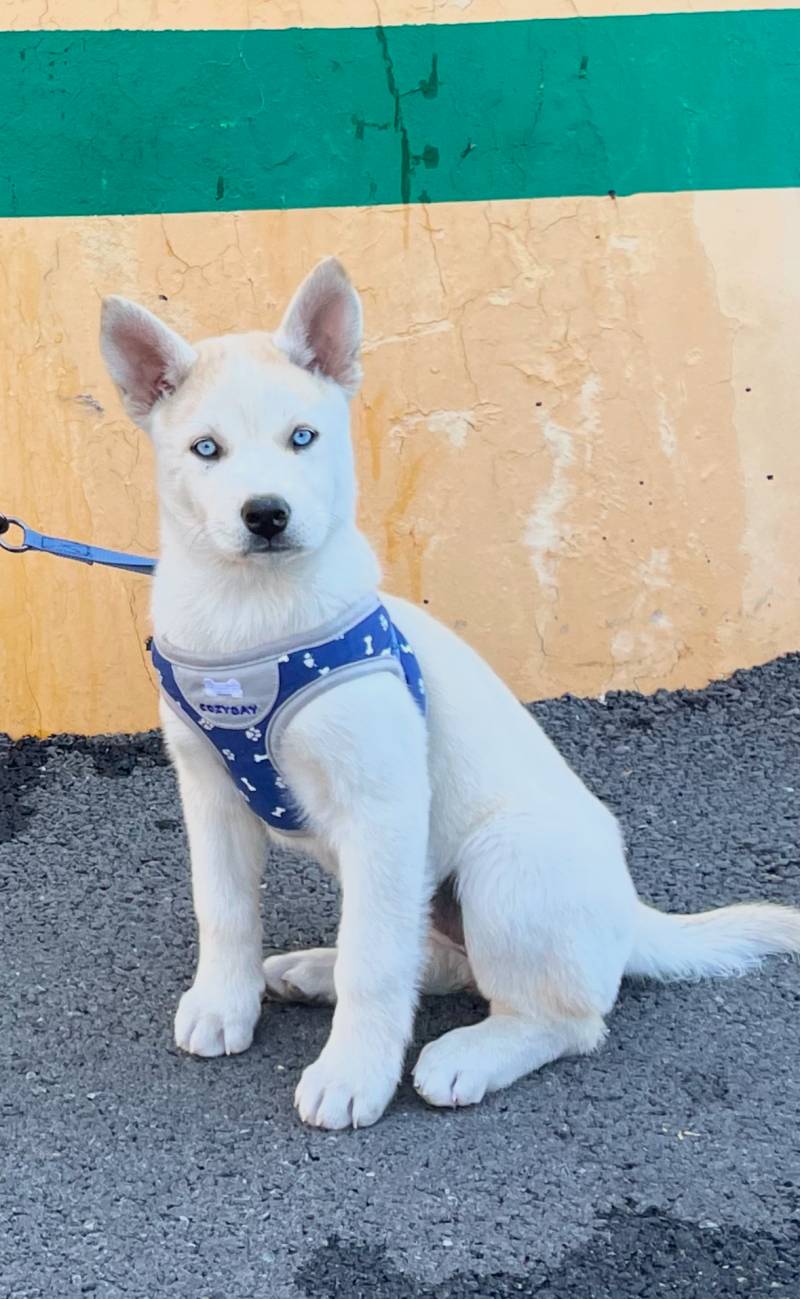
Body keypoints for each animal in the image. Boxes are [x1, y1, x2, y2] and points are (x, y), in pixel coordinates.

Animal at [100, 261, 800, 1127]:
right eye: (206, 449)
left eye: (303, 437)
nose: (265, 515)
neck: (249, 616)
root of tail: (632, 918)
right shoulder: (210, 791)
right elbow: (224, 909)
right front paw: (223, 1004)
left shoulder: (383, 803)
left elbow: (375, 963)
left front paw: (353, 1074)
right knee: (428, 956)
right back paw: (313, 969)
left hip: (505, 861)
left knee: (564, 1016)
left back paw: (468, 1054)